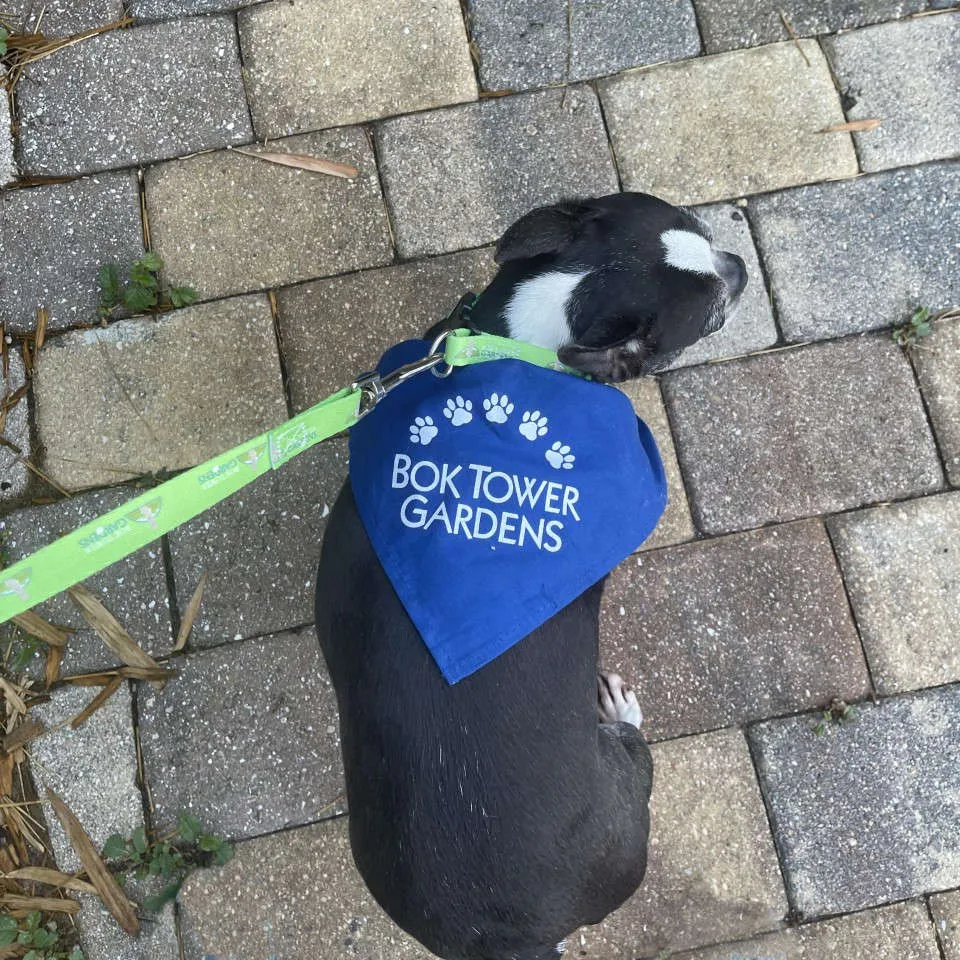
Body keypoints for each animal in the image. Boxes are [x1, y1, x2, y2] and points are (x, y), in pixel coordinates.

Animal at [316, 195, 752, 960]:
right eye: (708, 316)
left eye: (701, 230)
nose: (741, 266)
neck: (524, 351)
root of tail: (509, 938)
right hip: (627, 788)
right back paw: (619, 711)